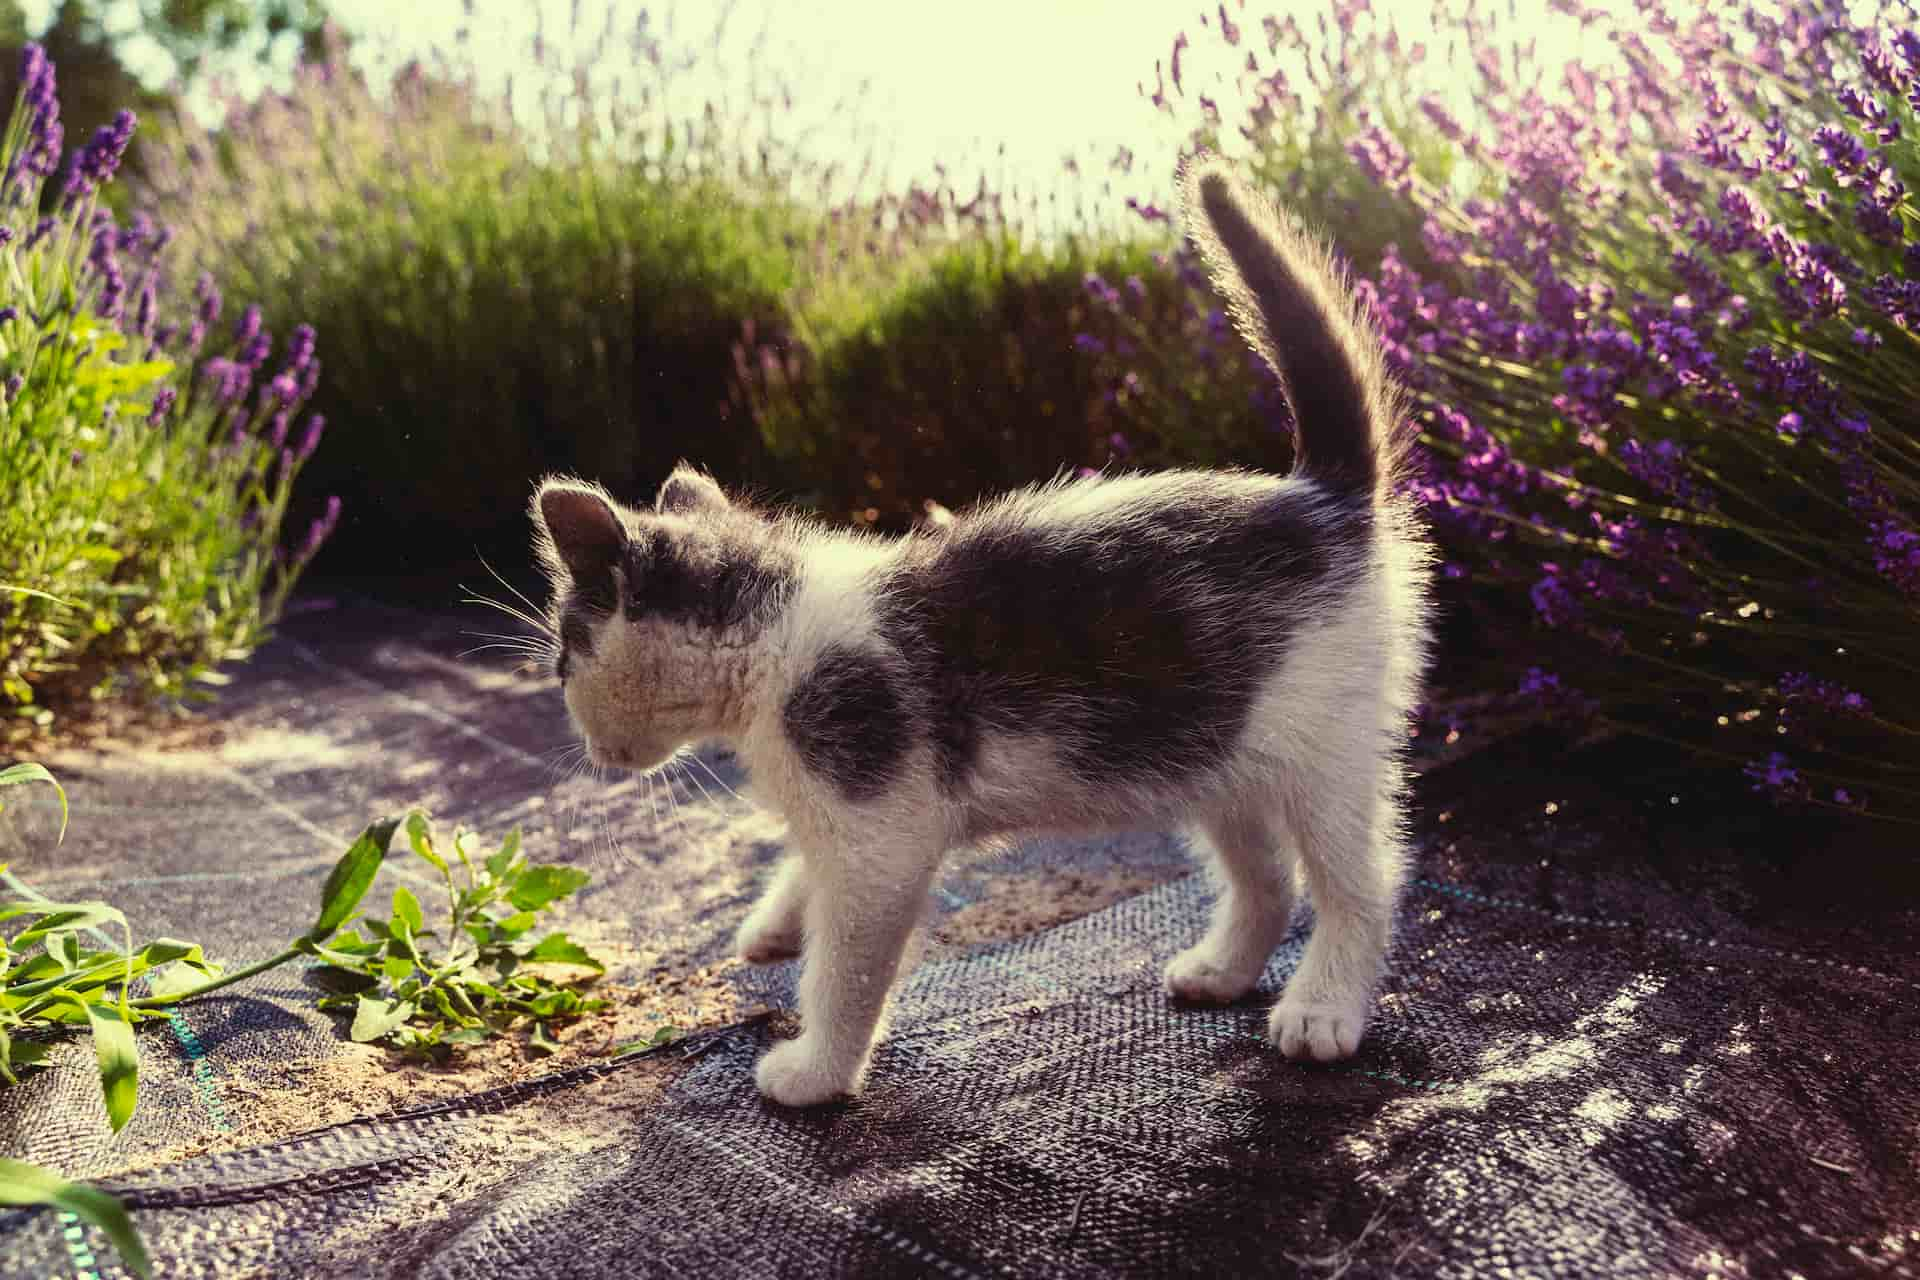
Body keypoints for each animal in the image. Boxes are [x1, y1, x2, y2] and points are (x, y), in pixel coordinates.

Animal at [533, 157, 1436, 1105]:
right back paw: (1221, 970)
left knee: (1361, 879)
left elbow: (846, 966)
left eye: (561, 656)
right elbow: (805, 873)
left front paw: (816, 1070)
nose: (583, 739)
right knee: (1266, 876)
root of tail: (1321, 495)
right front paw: (776, 919)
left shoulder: (881, 834)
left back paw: (1324, 1010)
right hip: (1219, 747)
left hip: (1325, 748)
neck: (776, 637)